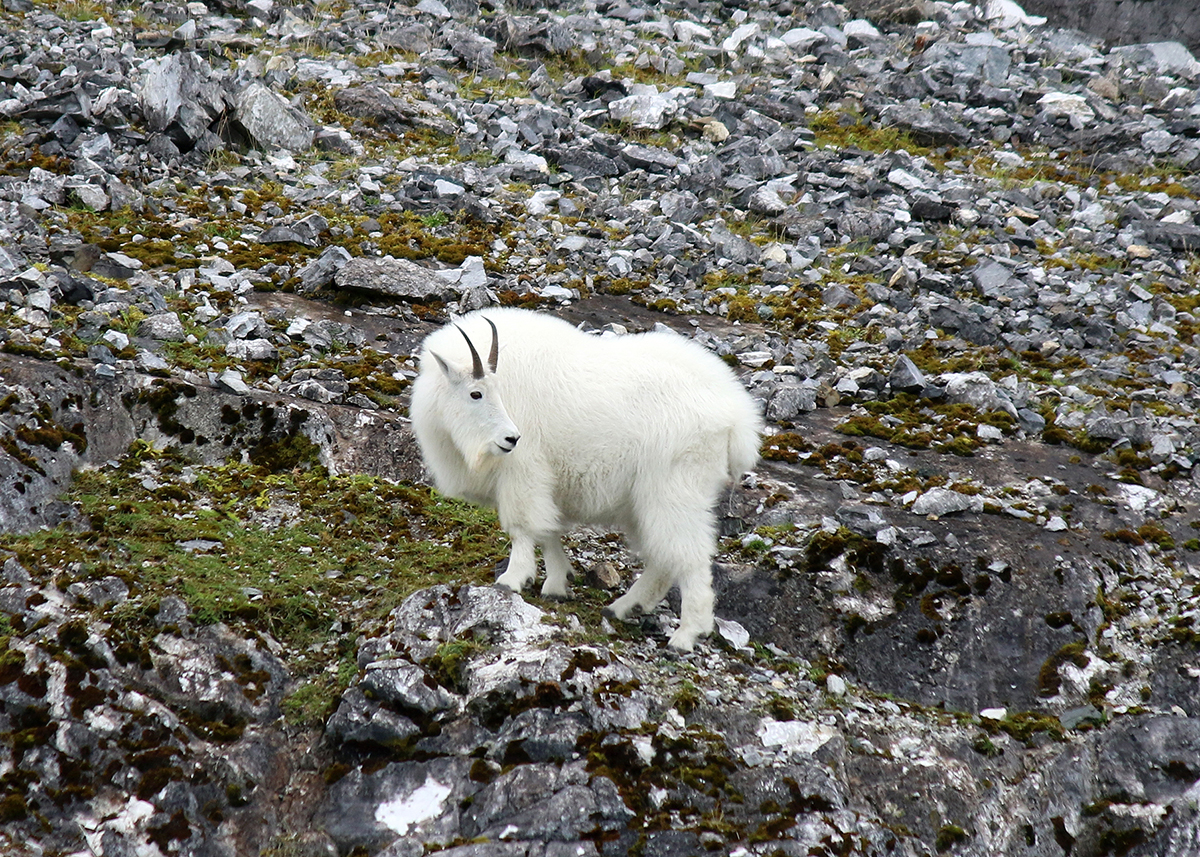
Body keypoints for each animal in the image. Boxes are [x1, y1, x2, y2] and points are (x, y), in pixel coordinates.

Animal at [410, 307, 758, 648]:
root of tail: (736, 417)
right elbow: (549, 531)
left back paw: (686, 635)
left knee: (689, 557)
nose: (511, 438)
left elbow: (523, 528)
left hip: (675, 489)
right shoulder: (545, 484)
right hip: (644, 502)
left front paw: (513, 579)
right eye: (476, 394)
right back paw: (625, 607)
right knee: (663, 559)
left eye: (491, 392)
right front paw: (557, 582)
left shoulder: (523, 472)